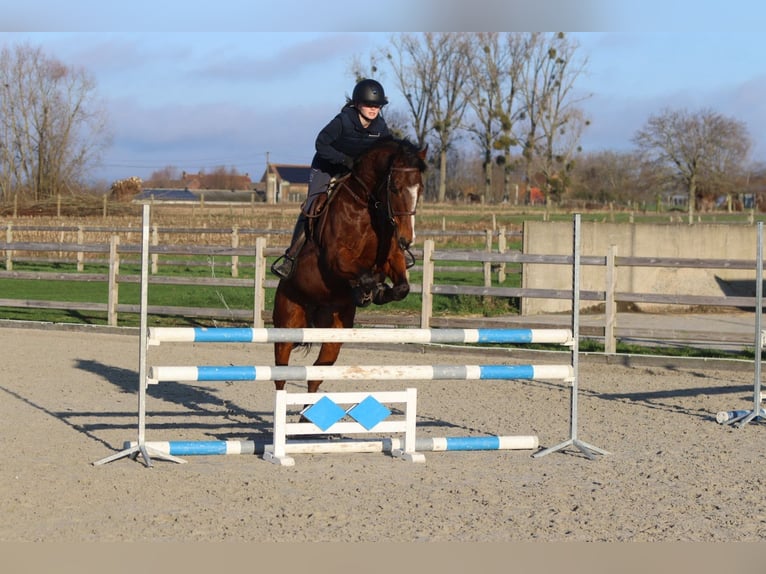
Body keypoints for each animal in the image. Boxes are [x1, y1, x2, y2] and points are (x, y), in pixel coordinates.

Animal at [272, 137, 428, 393]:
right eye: (394, 188)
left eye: (420, 189)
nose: (407, 239)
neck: (366, 206)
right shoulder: (336, 259)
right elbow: (364, 276)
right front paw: (369, 290)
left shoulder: (391, 258)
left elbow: (402, 287)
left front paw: (378, 293)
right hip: (287, 323)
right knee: (281, 375)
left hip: (334, 333)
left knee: (316, 375)